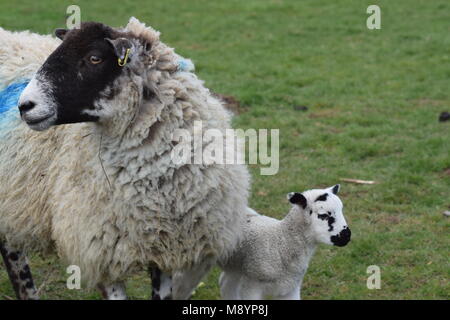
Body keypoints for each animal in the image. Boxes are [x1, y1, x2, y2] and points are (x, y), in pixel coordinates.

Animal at [219, 185, 352, 300]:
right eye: (323, 215)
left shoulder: (291, 287)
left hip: (236, 266)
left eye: (341, 210)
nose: (347, 235)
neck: (281, 242)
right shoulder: (252, 286)